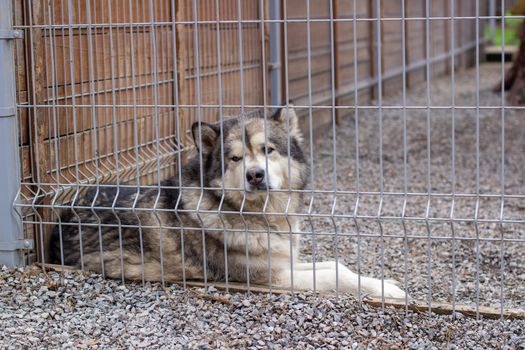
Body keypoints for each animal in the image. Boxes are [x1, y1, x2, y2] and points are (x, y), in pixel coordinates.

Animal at [50, 106, 406, 298]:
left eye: (268, 150)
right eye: (235, 158)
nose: (255, 175)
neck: (258, 216)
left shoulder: (284, 261)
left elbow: (336, 264)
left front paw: (385, 284)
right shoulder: (270, 277)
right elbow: (334, 275)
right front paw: (390, 292)